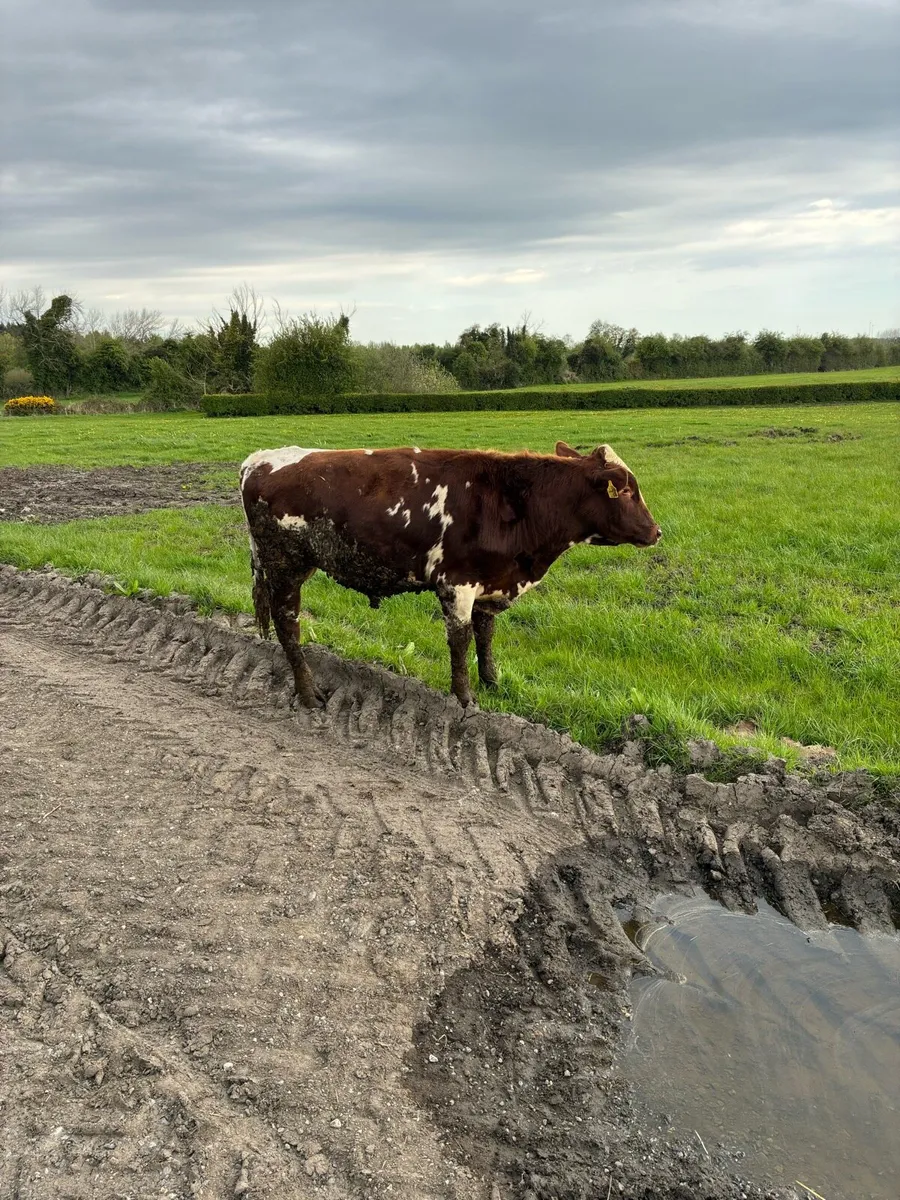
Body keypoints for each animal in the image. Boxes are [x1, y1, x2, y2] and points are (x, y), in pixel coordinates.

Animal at [239, 441, 661, 708]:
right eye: (627, 492)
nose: (657, 532)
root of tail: (261, 458)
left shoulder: (491, 585)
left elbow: (486, 637)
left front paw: (493, 683)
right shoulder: (457, 583)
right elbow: (460, 643)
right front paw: (465, 698)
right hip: (286, 565)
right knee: (287, 626)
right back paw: (308, 694)